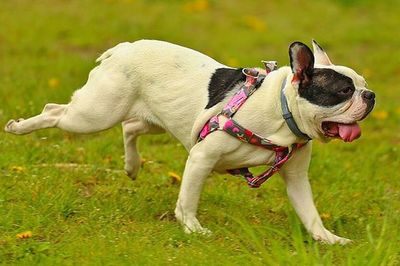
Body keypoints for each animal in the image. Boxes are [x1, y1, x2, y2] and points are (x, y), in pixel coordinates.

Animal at [4, 38, 376, 244]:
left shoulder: (296, 177)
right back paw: (19, 127)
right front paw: (193, 229)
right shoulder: (202, 158)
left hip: (155, 119)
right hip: (95, 114)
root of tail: (123, 49)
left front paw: (328, 239)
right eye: (344, 91)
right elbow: (188, 200)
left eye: (363, 83)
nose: (370, 95)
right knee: (56, 112)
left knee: (130, 128)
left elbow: (309, 212)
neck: (280, 108)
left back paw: (132, 165)